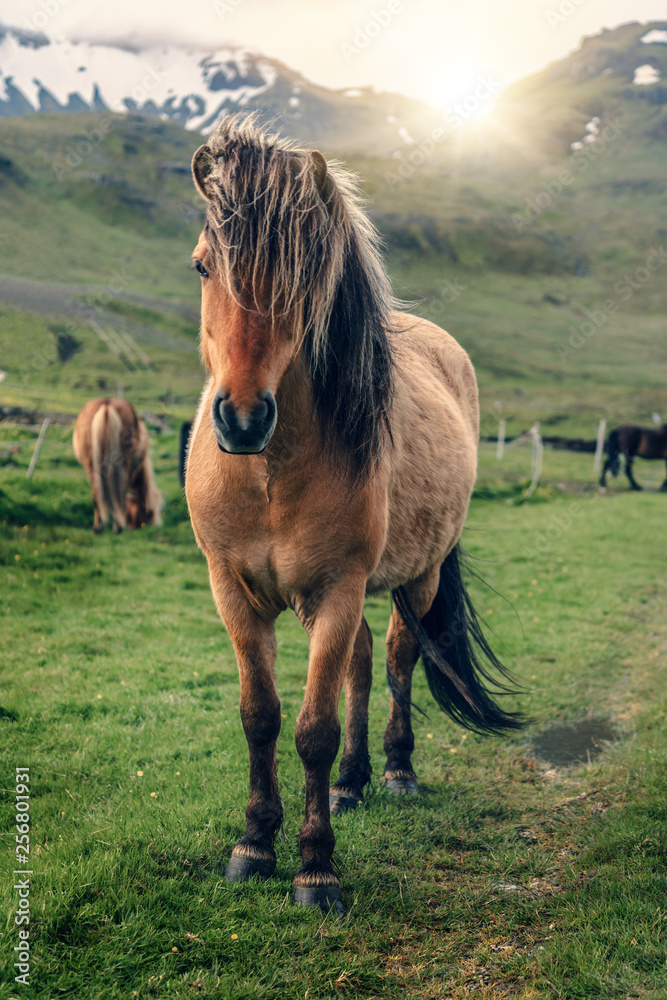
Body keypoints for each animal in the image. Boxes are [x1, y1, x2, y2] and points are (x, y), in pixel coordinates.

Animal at [73, 398, 164, 536]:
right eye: (147, 515)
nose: (137, 527)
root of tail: (106, 404)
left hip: (91, 465)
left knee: (97, 496)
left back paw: (98, 527)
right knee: (120, 491)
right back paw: (118, 526)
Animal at [185, 115, 524, 916]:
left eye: (303, 280)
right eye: (203, 268)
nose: (241, 418)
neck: (269, 474)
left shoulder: (337, 590)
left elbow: (313, 726)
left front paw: (315, 868)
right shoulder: (234, 593)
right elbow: (260, 716)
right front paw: (254, 844)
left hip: (414, 577)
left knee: (397, 656)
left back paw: (395, 772)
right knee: (365, 662)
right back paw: (350, 783)